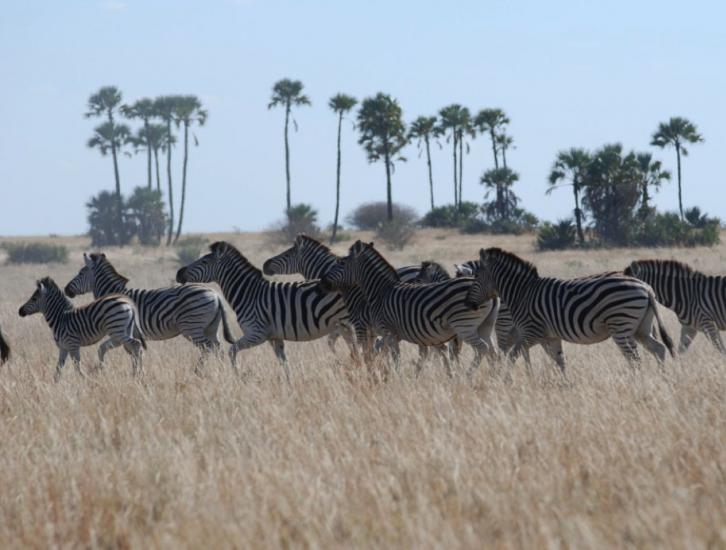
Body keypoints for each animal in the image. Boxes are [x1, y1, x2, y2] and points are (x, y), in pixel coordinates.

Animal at [18, 278, 146, 382]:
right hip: (123, 330)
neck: (60, 318)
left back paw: (137, 374)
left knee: (136, 344)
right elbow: (59, 367)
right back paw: (138, 373)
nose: (20, 311)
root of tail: (128, 302)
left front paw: (84, 380)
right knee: (133, 347)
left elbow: (76, 366)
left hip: (118, 330)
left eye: (34, 298)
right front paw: (55, 384)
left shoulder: (73, 344)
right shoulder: (63, 347)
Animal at [65, 253, 235, 366]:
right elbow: (131, 353)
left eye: (81, 273)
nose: (66, 290)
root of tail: (214, 294)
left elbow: (116, 350)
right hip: (211, 327)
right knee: (217, 347)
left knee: (207, 348)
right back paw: (219, 371)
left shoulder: (120, 333)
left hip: (191, 327)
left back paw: (199, 371)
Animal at [176, 243, 358, 384]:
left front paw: (238, 377)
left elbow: (232, 350)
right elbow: (284, 362)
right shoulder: (275, 337)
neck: (249, 294)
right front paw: (289, 386)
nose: (179, 273)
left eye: (204, 261)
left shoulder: (257, 334)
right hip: (345, 325)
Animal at [322, 239, 500, 378]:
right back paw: (496, 378)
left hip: (464, 326)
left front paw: (396, 378)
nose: (322, 282)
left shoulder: (389, 332)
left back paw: (468, 376)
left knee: (482, 349)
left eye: (342, 263)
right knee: (492, 351)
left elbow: (395, 357)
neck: (380, 291)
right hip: (484, 326)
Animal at [466, 250, 676, 376]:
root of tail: (646, 288)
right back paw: (662, 379)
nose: (468, 303)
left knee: (634, 358)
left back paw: (636, 383)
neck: (522, 292)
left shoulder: (531, 332)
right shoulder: (550, 337)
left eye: (475, 278)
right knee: (659, 349)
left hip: (621, 326)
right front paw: (565, 386)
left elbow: (512, 356)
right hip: (641, 327)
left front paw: (507, 381)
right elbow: (560, 361)